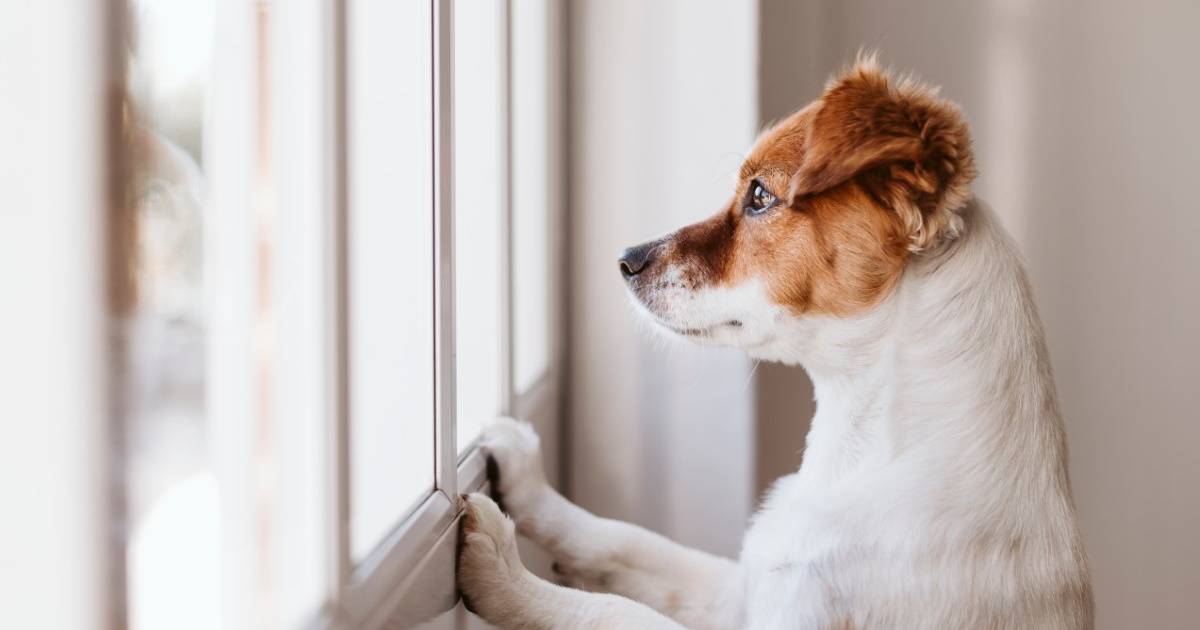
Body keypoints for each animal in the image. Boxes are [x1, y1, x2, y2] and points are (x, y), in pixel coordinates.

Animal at [453, 57, 1094, 628]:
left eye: (760, 196)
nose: (625, 260)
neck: (861, 453)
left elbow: (614, 611)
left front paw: (504, 571)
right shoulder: (741, 589)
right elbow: (625, 541)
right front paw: (528, 483)